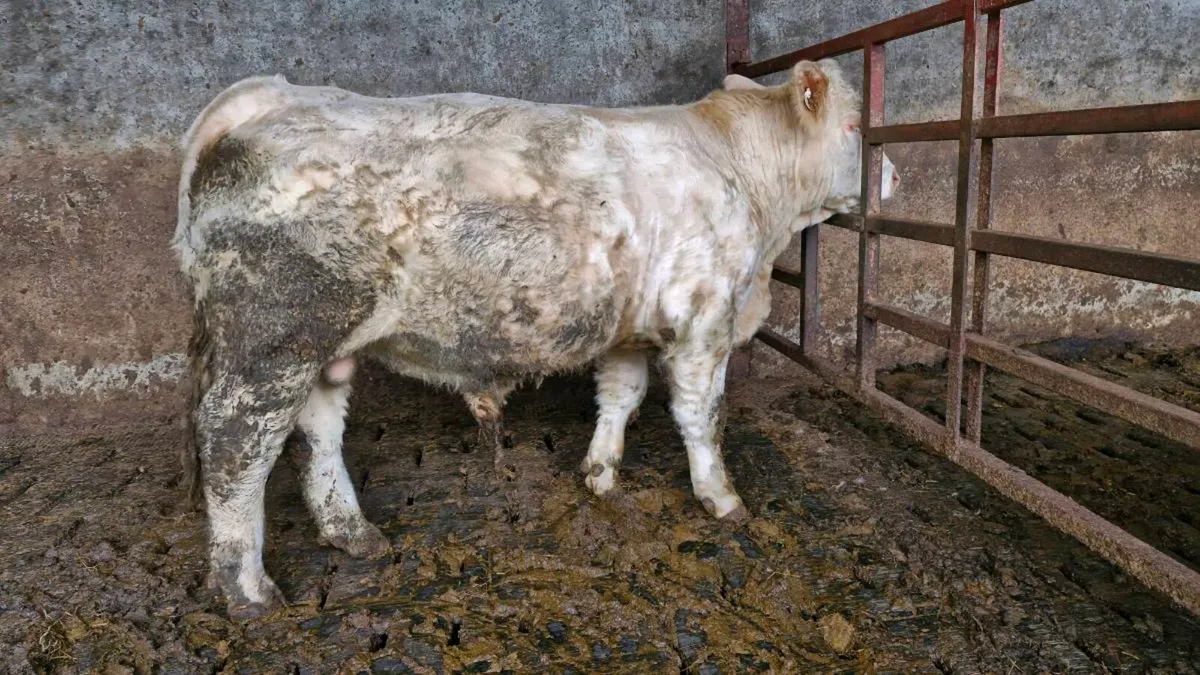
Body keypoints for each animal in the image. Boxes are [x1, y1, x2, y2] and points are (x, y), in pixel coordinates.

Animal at [174, 59, 898, 618]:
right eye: (856, 129)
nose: (894, 176)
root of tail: (268, 94)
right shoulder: (705, 318)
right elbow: (701, 415)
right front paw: (721, 498)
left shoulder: (630, 327)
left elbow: (621, 395)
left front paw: (600, 474)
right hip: (272, 339)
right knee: (236, 448)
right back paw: (248, 591)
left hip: (322, 346)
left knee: (318, 432)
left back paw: (352, 532)